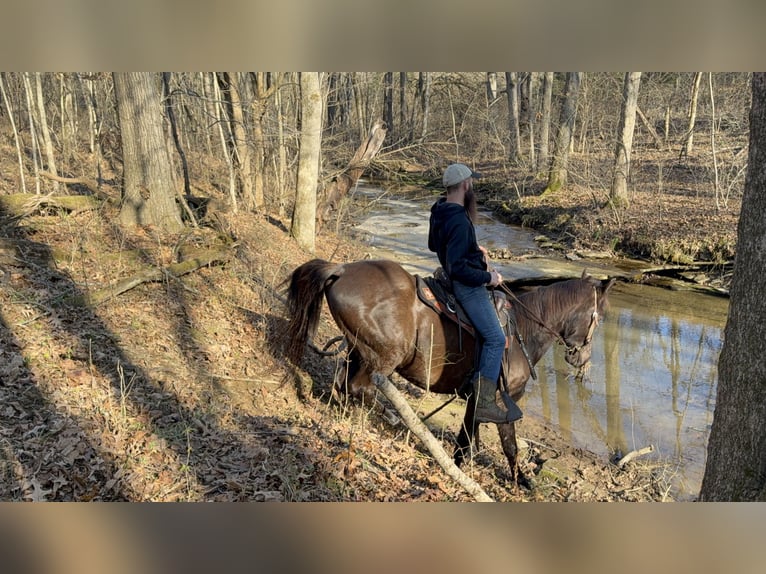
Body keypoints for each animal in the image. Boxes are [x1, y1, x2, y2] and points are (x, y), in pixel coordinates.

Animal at [283, 258, 615, 486]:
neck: (522, 327)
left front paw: (459, 467)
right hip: (383, 357)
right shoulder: (507, 399)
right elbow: (509, 445)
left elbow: (466, 437)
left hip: (357, 349)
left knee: (343, 383)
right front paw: (520, 480)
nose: (581, 359)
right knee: (361, 388)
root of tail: (340, 270)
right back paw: (396, 420)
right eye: (598, 317)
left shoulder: (478, 399)